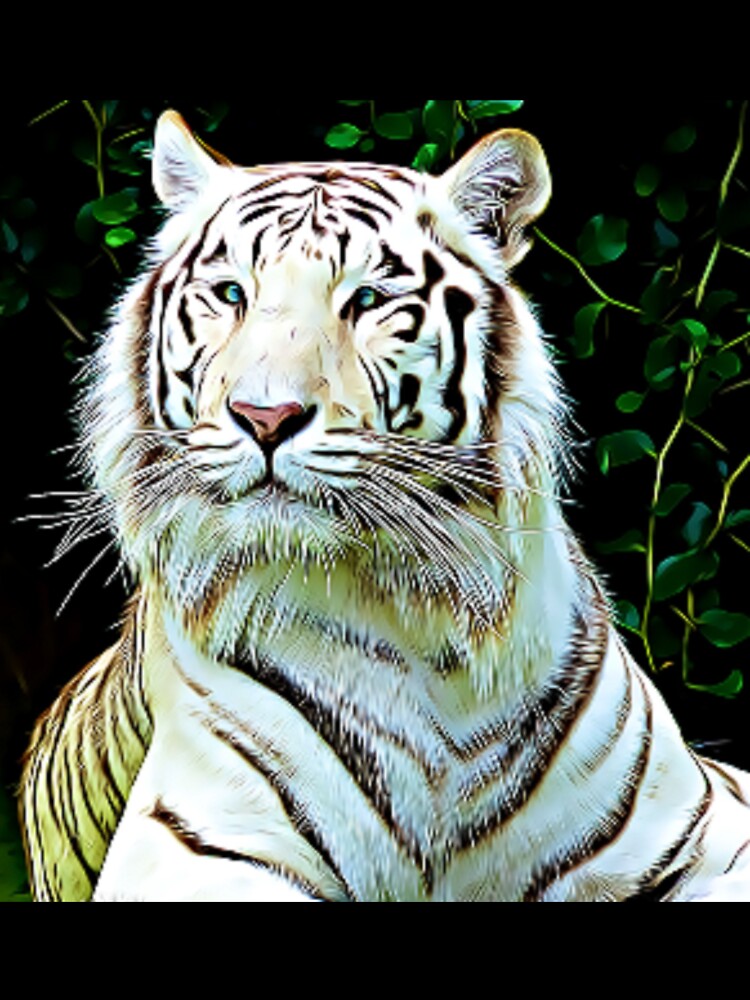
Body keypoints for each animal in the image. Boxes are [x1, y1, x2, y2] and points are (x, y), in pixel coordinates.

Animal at [19, 109, 750, 902]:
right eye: (232, 294)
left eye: (367, 301)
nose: (264, 417)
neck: (421, 625)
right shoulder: (196, 843)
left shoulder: (696, 823)